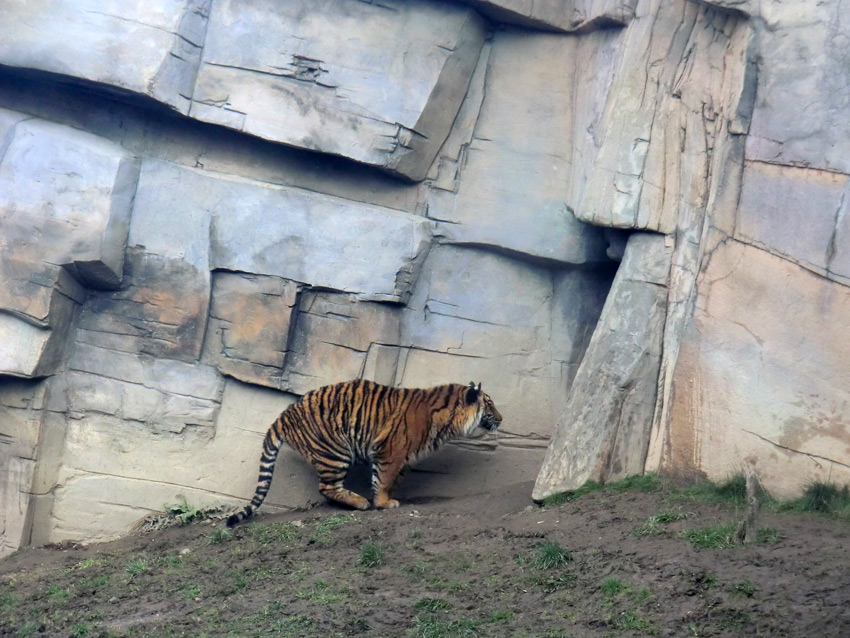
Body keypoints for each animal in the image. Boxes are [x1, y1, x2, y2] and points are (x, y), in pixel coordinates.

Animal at [227, 380, 504, 528]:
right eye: (490, 405)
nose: (501, 419)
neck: (446, 419)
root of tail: (284, 415)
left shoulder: (400, 458)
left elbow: (390, 478)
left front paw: (388, 496)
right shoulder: (391, 452)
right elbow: (384, 479)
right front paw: (383, 502)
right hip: (335, 451)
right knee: (326, 486)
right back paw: (360, 502)